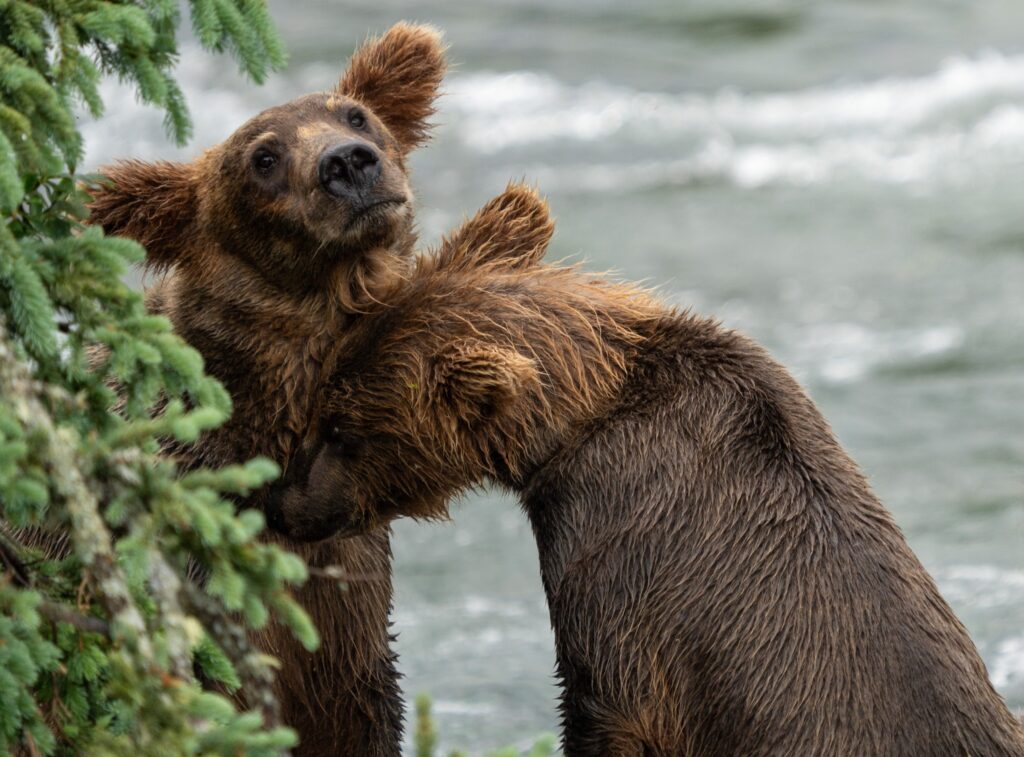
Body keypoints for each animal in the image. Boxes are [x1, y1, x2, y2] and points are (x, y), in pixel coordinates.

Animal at [259, 184, 1024, 755]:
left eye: (344, 431)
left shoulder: (622, 567)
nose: (281, 500)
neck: (582, 415)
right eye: (321, 396)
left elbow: (607, 702)